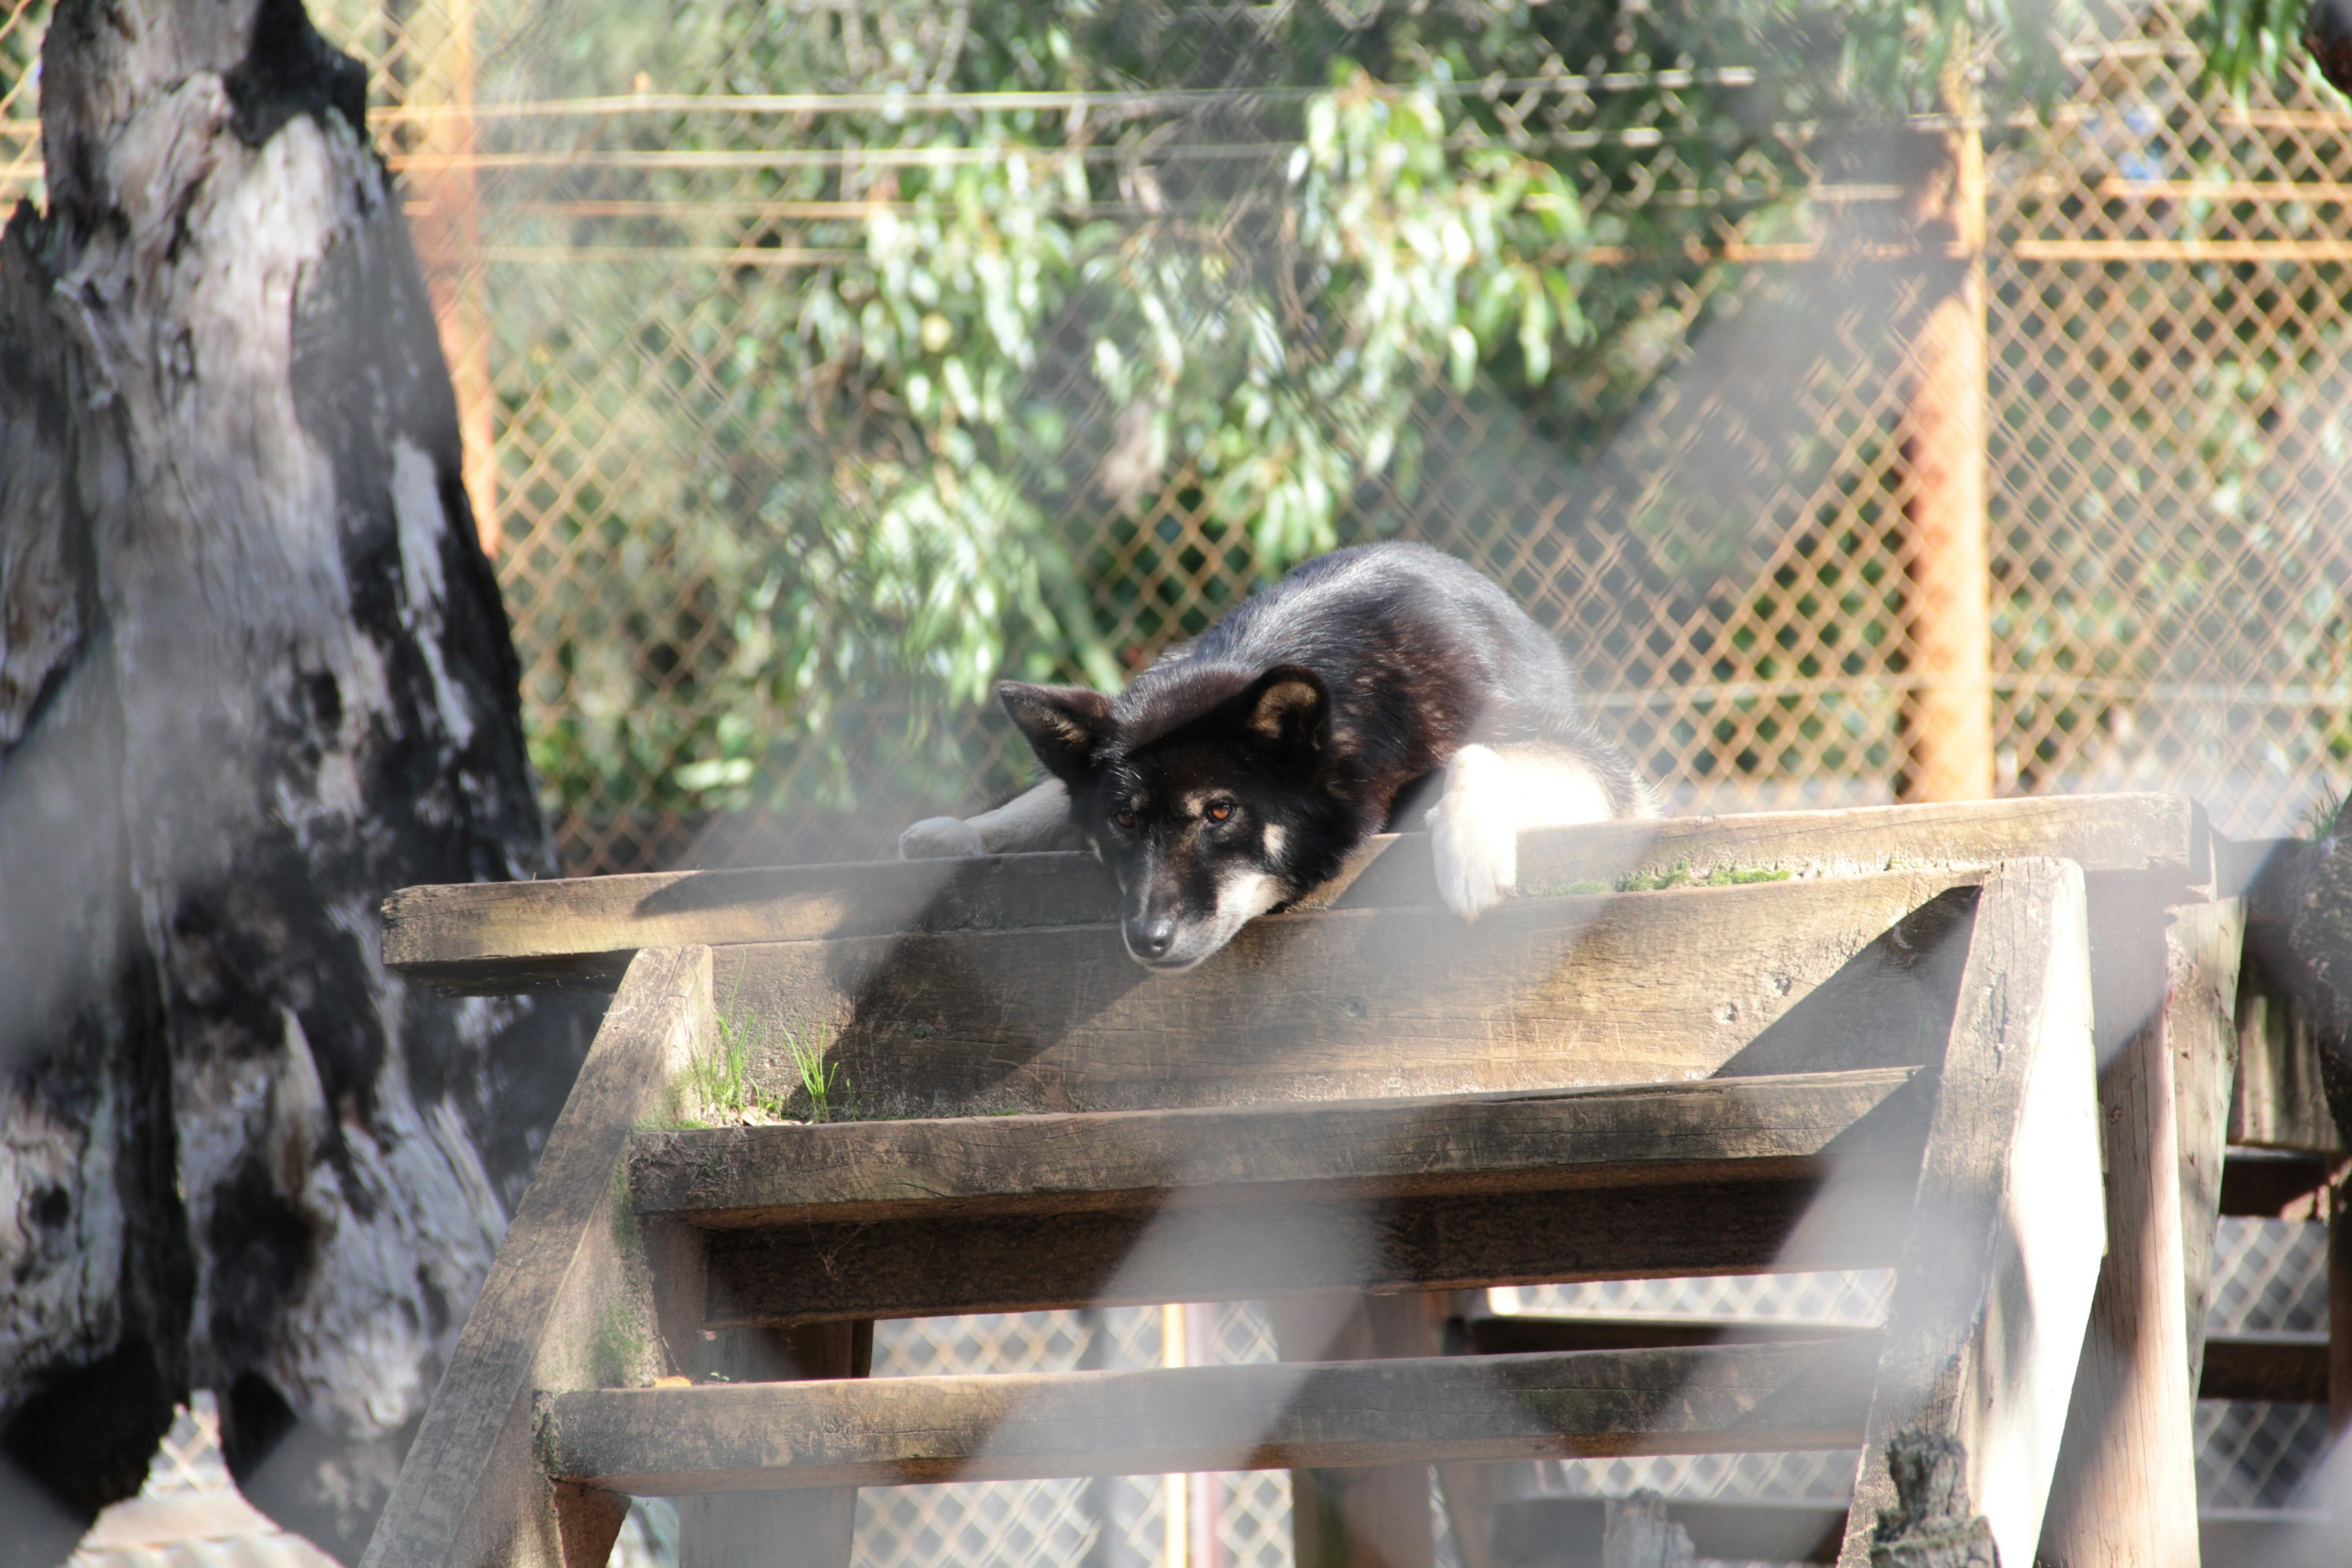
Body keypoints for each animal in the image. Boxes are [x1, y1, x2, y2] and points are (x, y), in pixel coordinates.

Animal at [898, 543, 1656, 968]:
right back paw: (946, 836)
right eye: (1123, 820)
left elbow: (1477, 752)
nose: (1148, 938)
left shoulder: (1605, 771)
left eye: (1220, 812)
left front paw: (1469, 851)